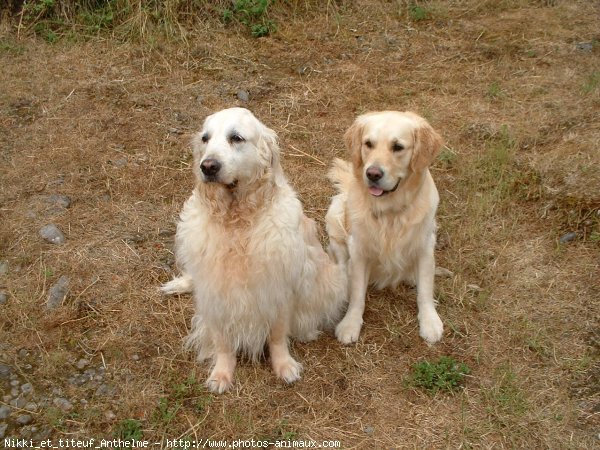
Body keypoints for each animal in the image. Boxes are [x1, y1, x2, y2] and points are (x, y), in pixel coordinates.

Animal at [161, 107, 346, 392]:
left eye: (236, 138)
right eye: (205, 138)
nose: (207, 166)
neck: (237, 220)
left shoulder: (279, 288)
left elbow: (278, 336)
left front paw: (284, 366)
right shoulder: (215, 293)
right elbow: (223, 342)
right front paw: (221, 373)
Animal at [326, 111, 442, 344]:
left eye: (398, 147)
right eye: (368, 144)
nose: (372, 174)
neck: (390, 211)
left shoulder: (425, 246)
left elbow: (425, 289)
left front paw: (430, 321)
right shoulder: (359, 249)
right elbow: (357, 294)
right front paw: (350, 324)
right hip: (335, 216)